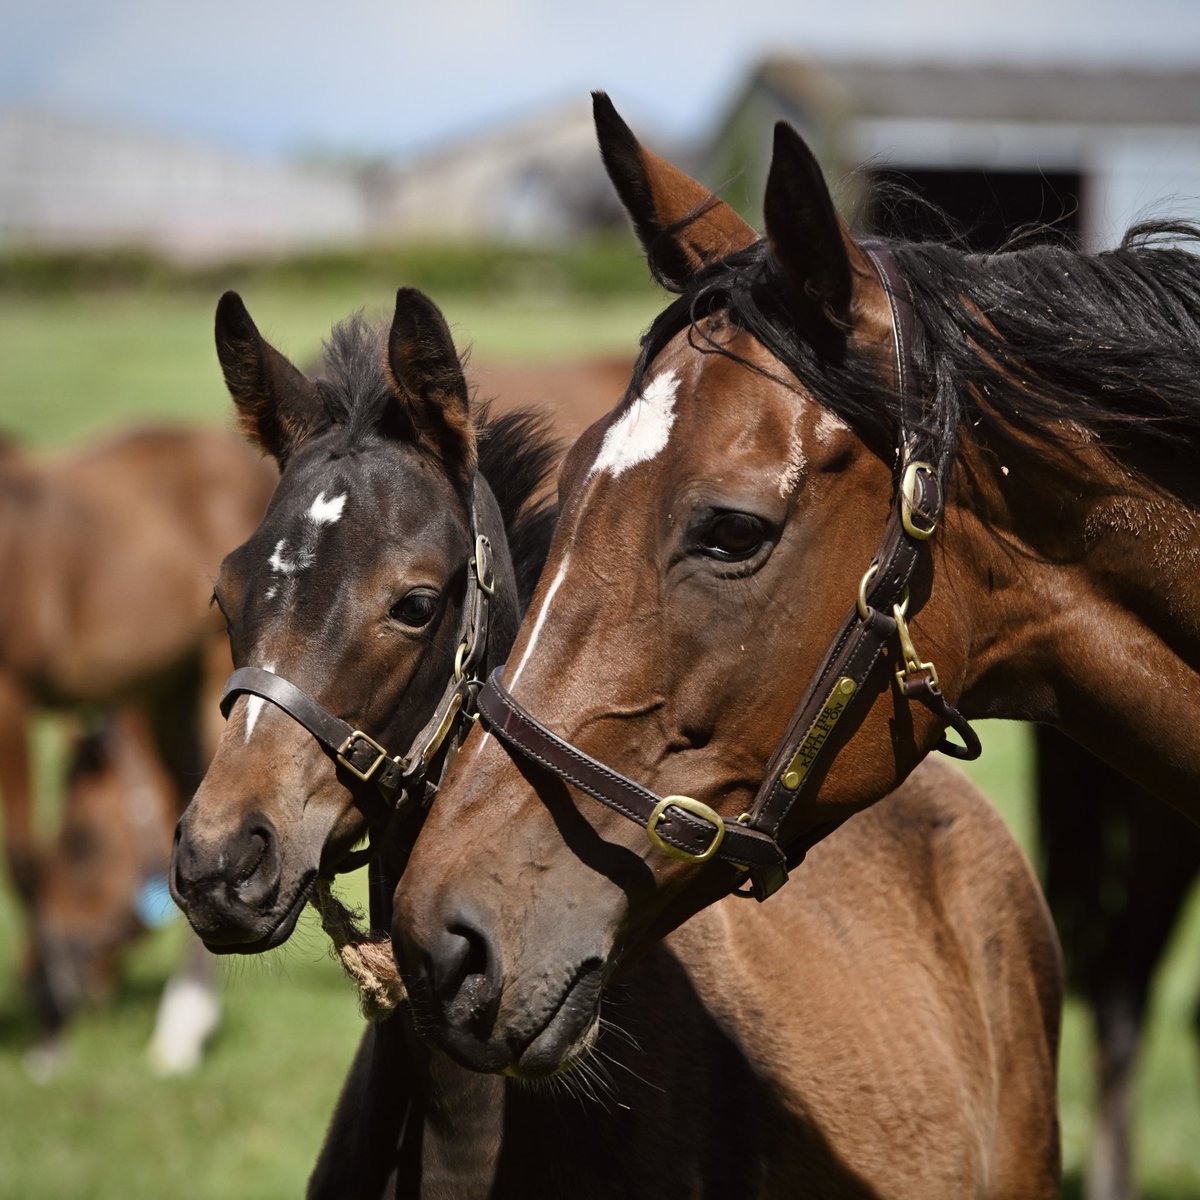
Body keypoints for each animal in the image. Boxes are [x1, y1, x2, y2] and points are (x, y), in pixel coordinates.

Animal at [0, 424, 276, 1064]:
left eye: (83, 844)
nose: (27, 978)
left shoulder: (10, 692)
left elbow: (20, 859)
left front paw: (50, 1025)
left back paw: (182, 1024)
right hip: (165, 683)